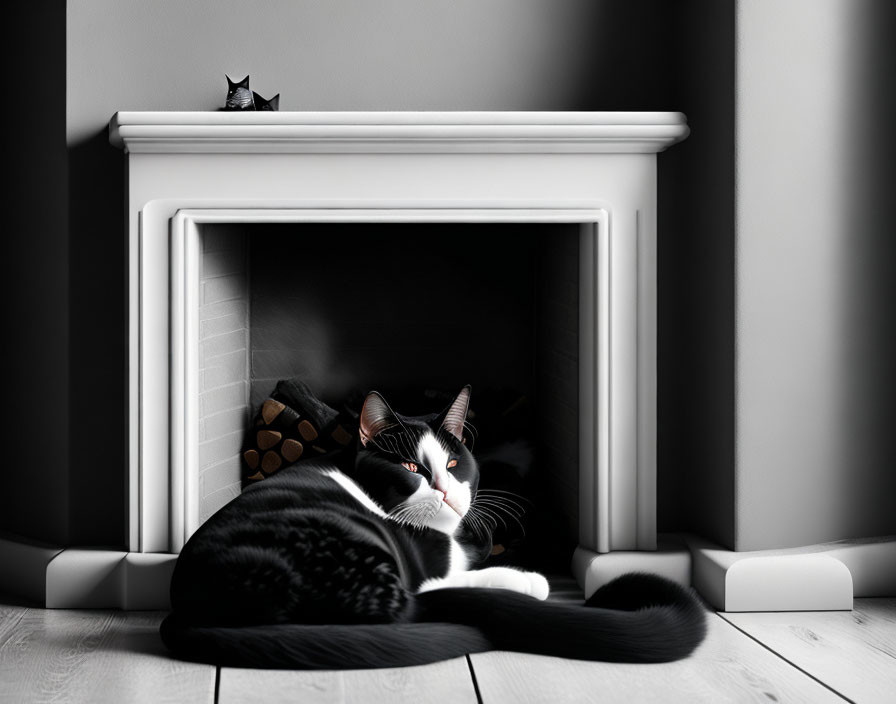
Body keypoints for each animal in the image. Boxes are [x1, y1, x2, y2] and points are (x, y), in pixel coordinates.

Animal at [163, 388, 708, 668]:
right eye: (410, 467)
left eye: (451, 461)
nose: (445, 490)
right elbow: (448, 578)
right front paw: (527, 578)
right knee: (415, 602)